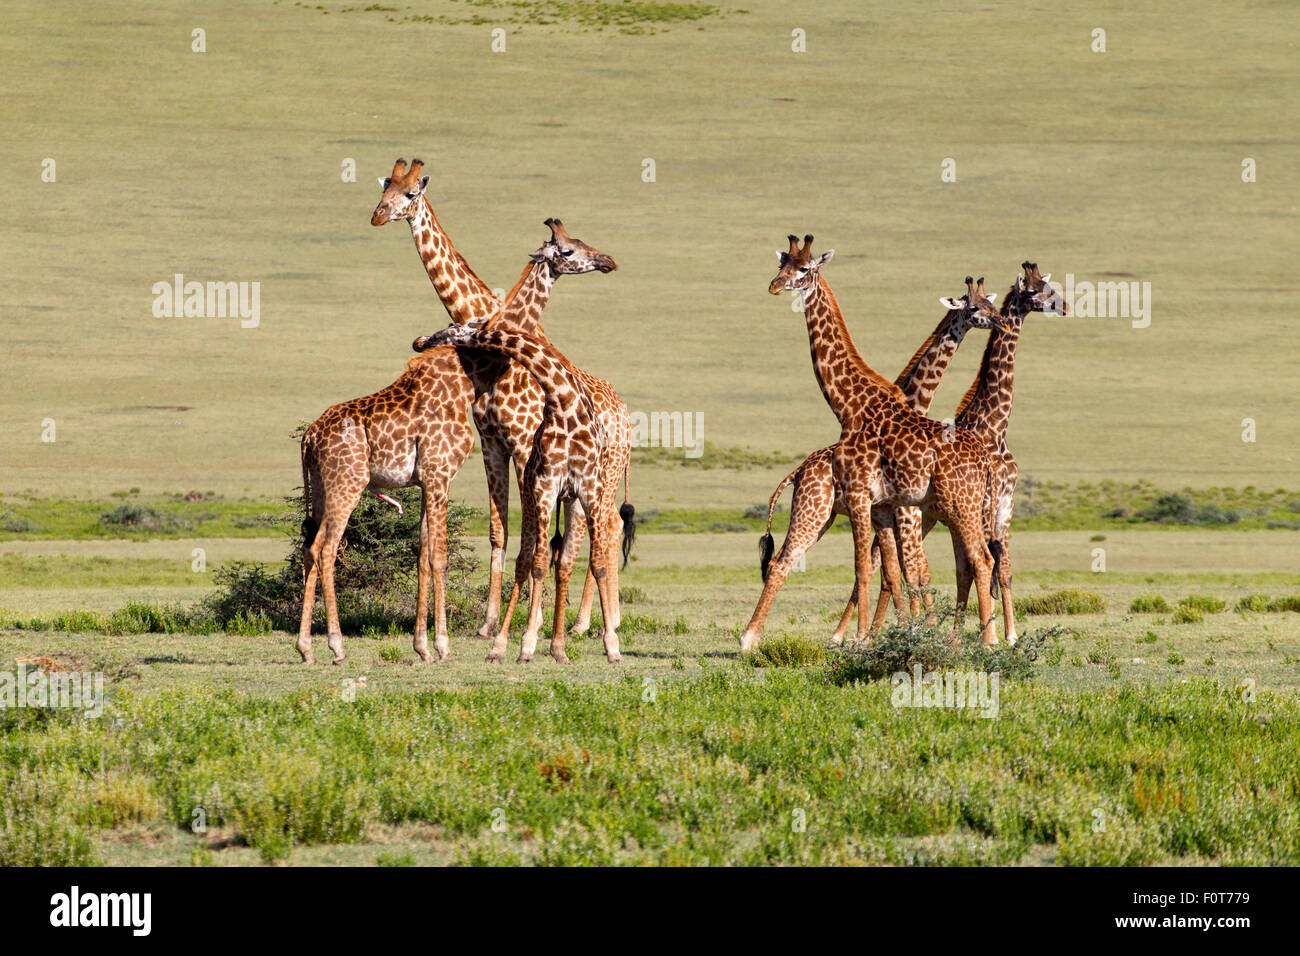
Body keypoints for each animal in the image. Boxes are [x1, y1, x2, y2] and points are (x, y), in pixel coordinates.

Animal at [416, 323, 618, 665]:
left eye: (449, 330)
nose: (419, 342)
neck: (564, 399)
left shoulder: (590, 487)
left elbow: (598, 562)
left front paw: (612, 647)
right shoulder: (546, 485)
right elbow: (537, 564)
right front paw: (526, 645)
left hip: (573, 503)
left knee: (564, 564)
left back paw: (558, 646)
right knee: (530, 563)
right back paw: (504, 644)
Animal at [738, 235, 998, 650]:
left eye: (804, 268)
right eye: (783, 265)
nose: (775, 286)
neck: (850, 405)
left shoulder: (869, 498)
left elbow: (876, 570)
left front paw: (865, 639)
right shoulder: (885, 507)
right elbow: (890, 572)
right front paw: (887, 634)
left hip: (959, 507)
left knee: (980, 560)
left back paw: (989, 641)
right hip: (826, 511)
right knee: (783, 561)